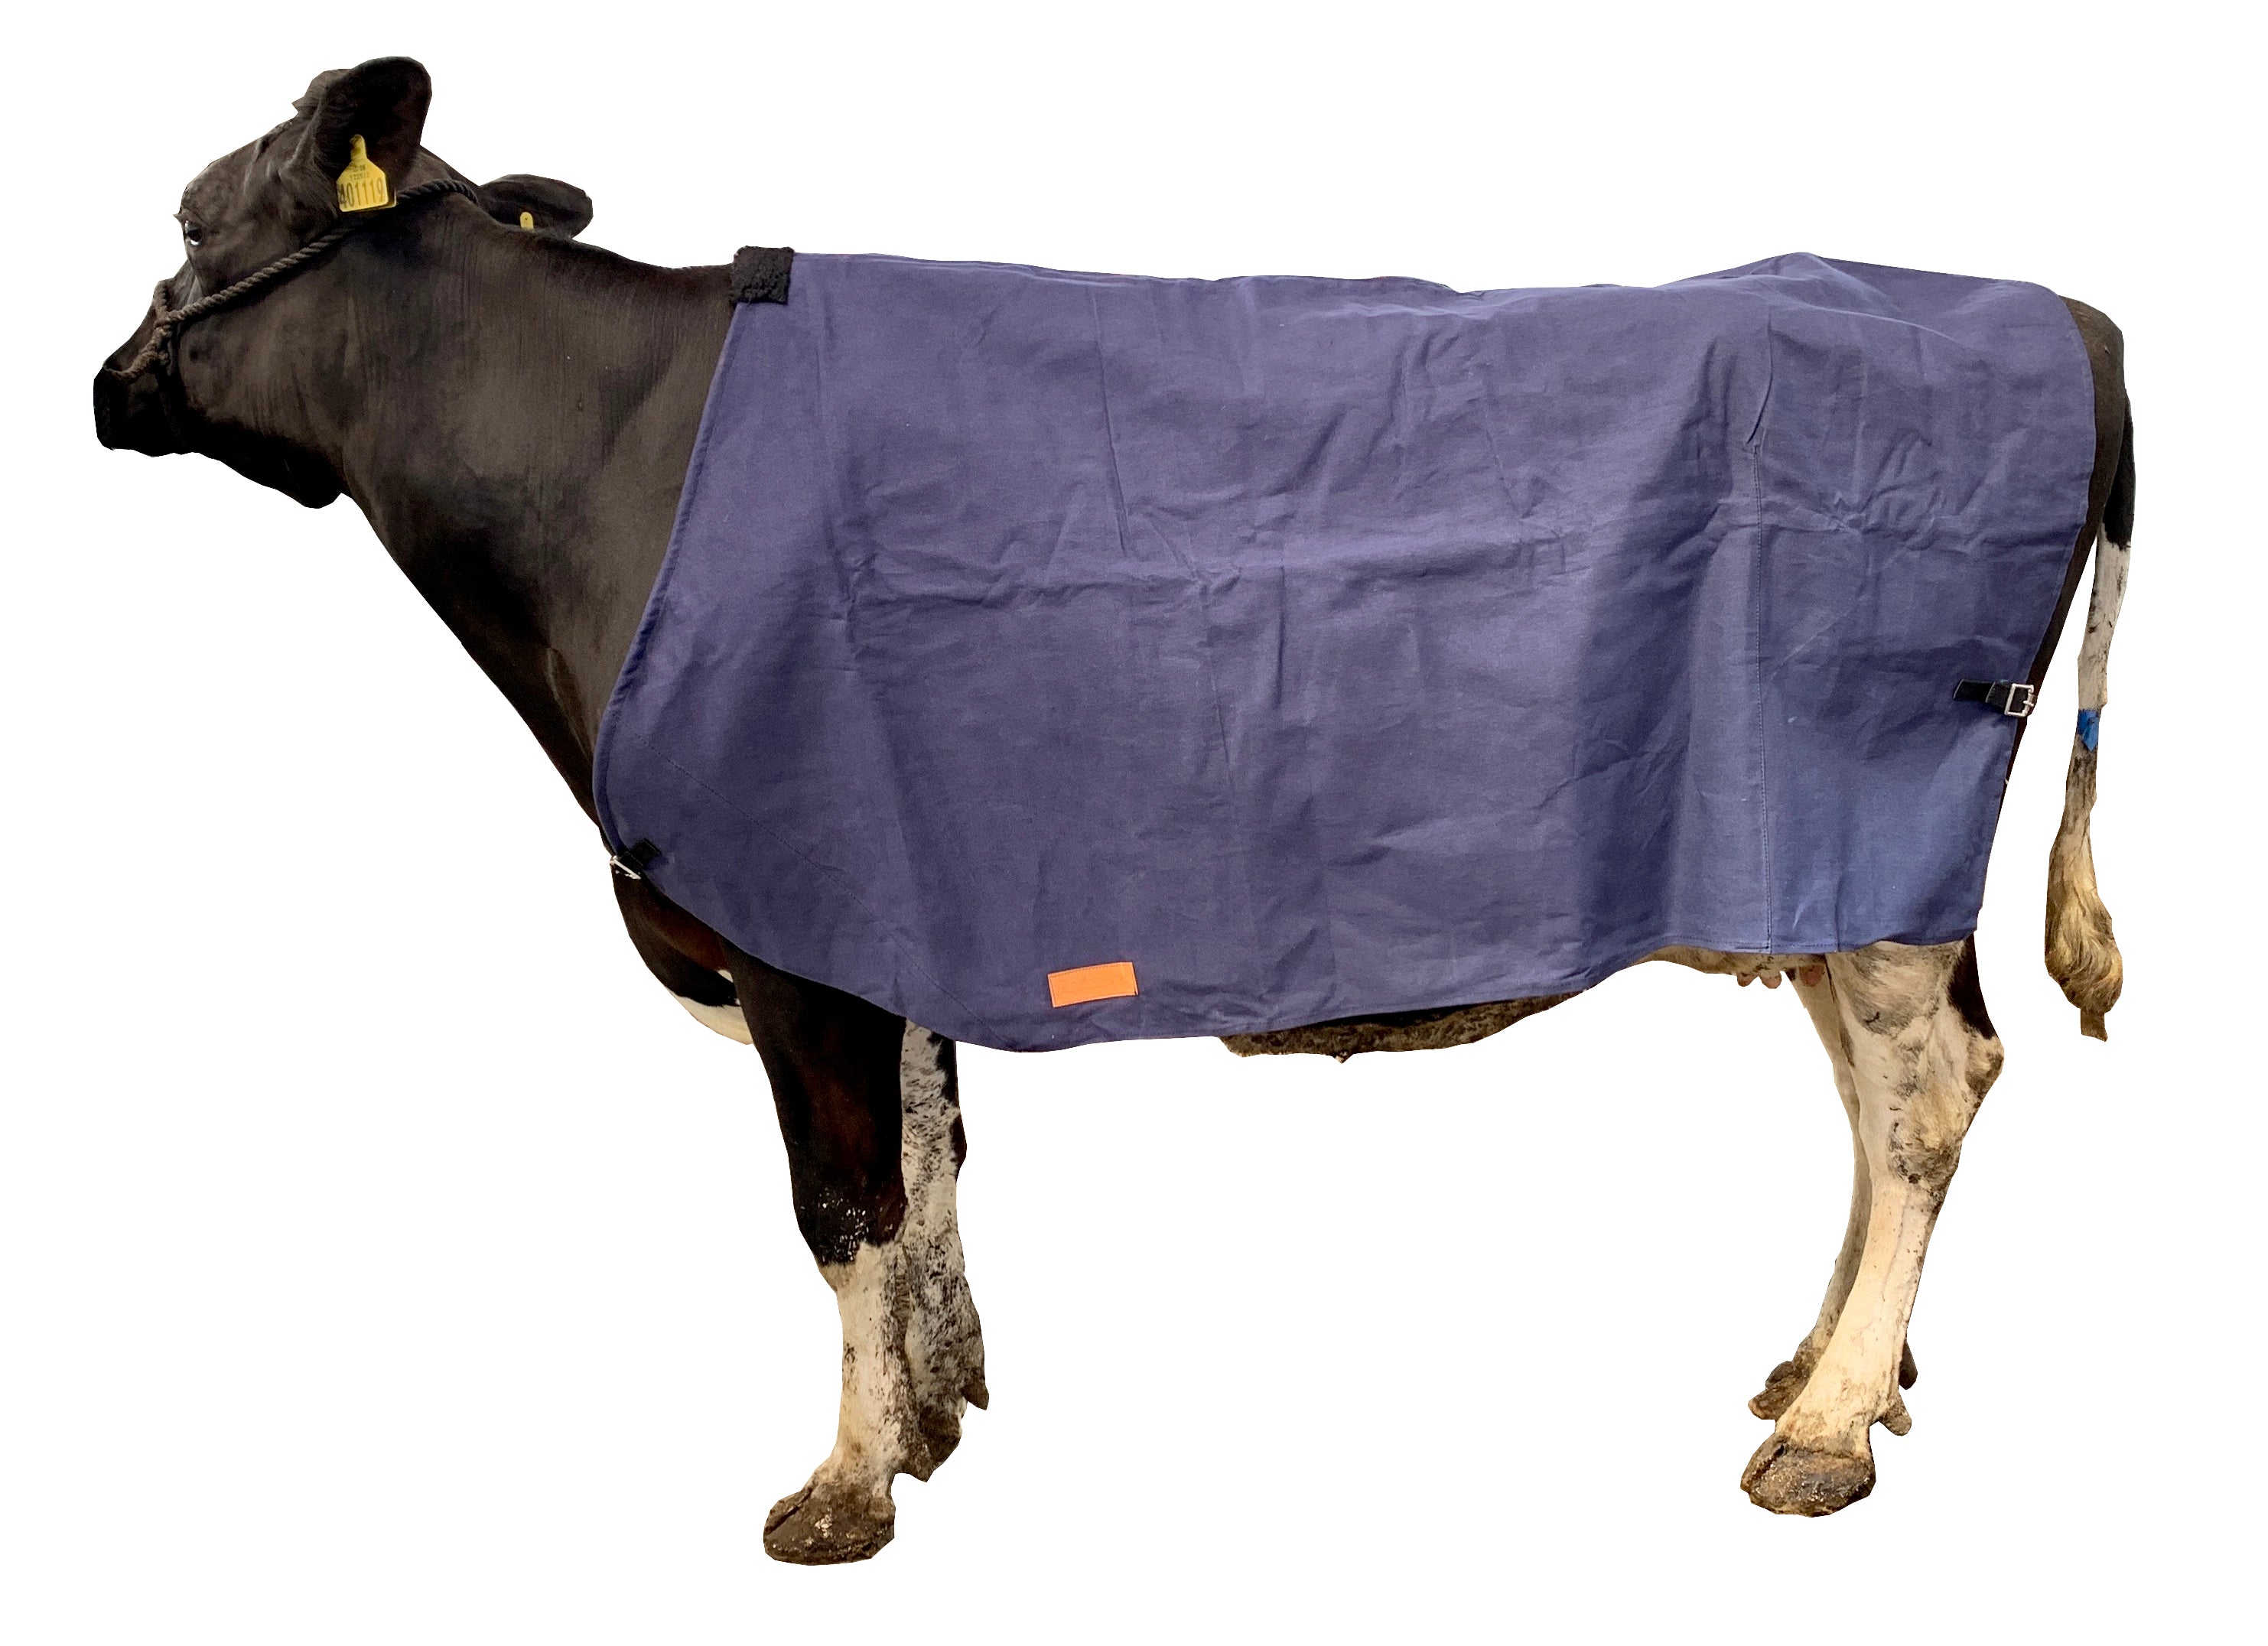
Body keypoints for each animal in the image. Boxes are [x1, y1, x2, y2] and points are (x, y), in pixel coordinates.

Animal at [93, 57, 2135, 1563]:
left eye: (191, 222)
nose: (108, 387)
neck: (596, 481)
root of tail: (2054, 310)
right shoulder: (875, 900)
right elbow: (928, 1164)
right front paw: (933, 1410)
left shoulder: (786, 912)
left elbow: (840, 1197)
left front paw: (843, 1487)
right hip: (1809, 861)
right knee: (1872, 1097)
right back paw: (1822, 1365)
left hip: (1876, 848)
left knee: (1929, 1091)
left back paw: (1825, 1428)